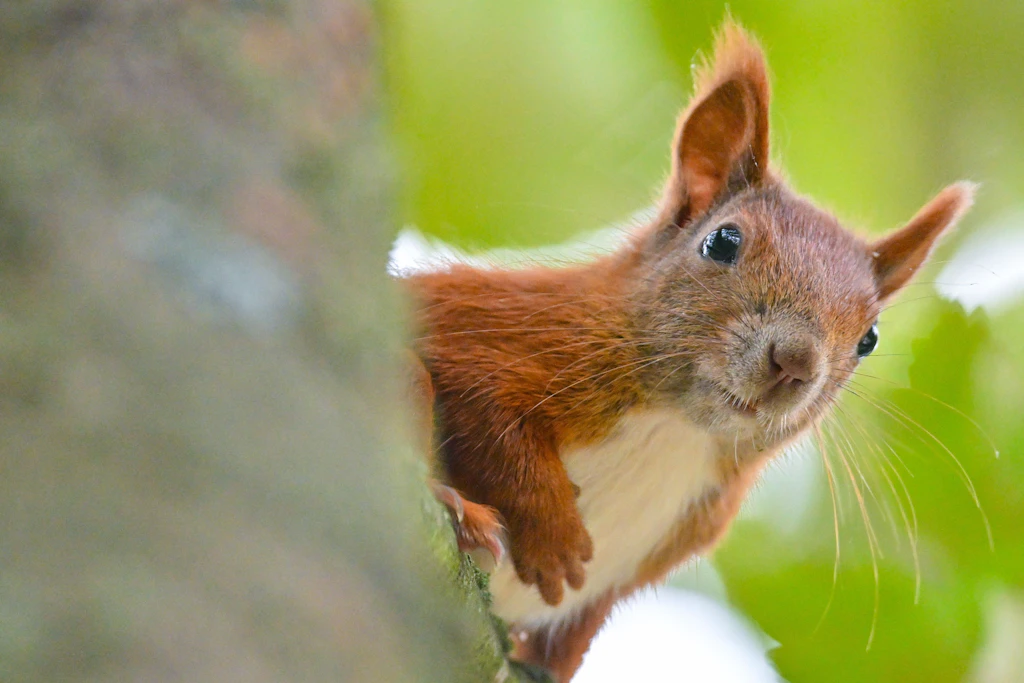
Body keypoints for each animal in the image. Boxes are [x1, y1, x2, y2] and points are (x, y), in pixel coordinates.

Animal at [402, 20, 975, 682]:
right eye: (722, 242)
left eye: (869, 338)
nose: (795, 362)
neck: (676, 427)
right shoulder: (492, 329)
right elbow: (490, 414)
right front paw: (553, 538)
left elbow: (582, 623)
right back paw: (461, 513)